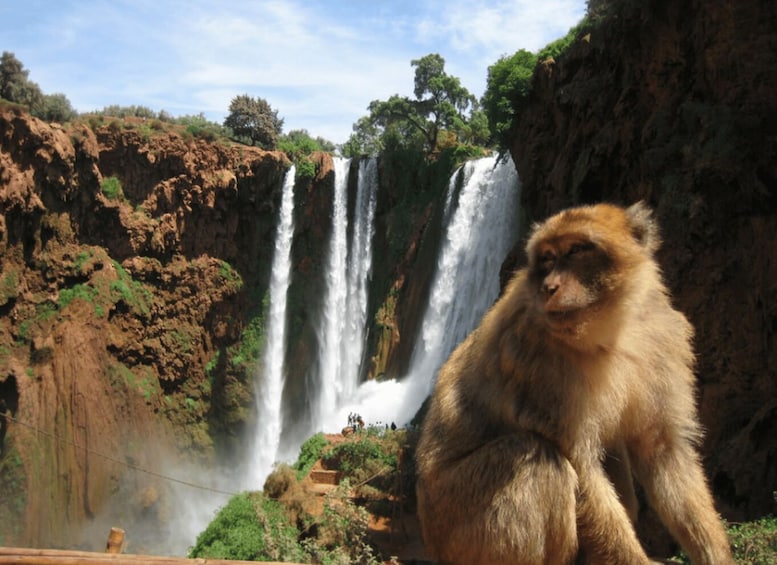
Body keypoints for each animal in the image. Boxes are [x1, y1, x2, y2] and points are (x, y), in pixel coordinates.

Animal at [415, 202, 733, 565]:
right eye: (548, 258)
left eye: (576, 250)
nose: (549, 287)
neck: (608, 332)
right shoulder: (538, 364)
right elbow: (581, 465)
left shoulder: (662, 339)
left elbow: (662, 449)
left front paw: (716, 555)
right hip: (459, 525)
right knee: (537, 458)